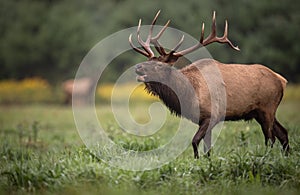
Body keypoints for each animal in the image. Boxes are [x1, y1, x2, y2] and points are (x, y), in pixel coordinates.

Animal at [128, 10, 288, 158]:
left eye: (159, 65)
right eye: (148, 60)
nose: (137, 67)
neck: (190, 95)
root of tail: (282, 80)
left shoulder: (212, 115)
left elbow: (195, 141)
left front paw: (197, 160)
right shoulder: (203, 120)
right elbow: (208, 147)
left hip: (267, 108)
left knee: (271, 138)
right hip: (260, 112)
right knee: (283, 133)